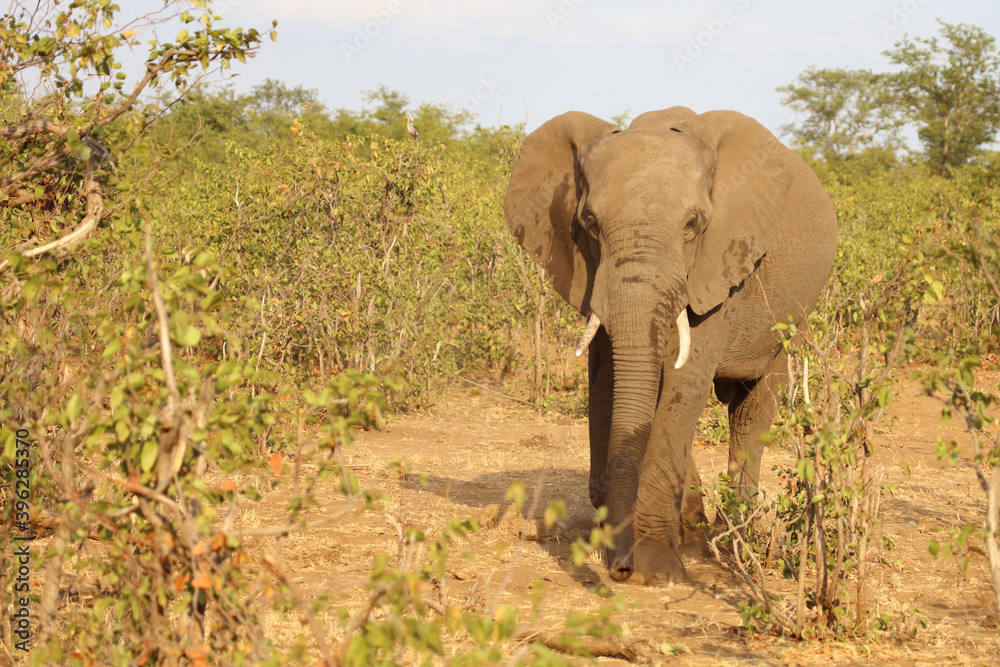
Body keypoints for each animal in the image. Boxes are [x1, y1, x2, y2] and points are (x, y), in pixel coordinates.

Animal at [503, 107, 838, 584]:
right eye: (589, 224)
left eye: (693, 224)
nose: (620, 570)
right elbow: (606, 386)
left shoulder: (717, 267)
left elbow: (682, 386)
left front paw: (656, 571)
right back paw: (695, 534)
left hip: (791, 315)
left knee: (752, 408)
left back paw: (735, 544)